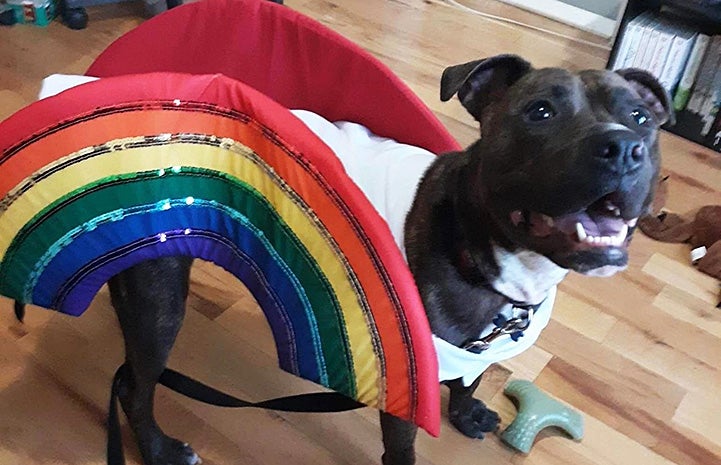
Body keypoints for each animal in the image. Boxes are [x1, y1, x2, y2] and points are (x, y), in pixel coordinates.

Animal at [100, 55, 668, 464]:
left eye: (640, 118)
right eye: (540, 112)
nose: (624, 147)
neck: (480, 247)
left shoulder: (478, 349)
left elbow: (472, 377)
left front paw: (466, 413)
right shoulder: (409, 377)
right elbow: (402, 446)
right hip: (159, 301)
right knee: (136, 386)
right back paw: (158, 449)